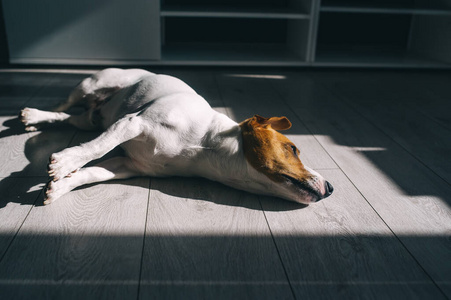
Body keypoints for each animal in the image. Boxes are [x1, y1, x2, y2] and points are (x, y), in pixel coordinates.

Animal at [19, 68, 334, 204]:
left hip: (89, 121)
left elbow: (92, 173)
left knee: (68, 119)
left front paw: (60, 187)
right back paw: (30, 116)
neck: (204, 146)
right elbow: (96, 149)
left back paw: (36, 120)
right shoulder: (132, 123)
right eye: (292, 149)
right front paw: (65, 162)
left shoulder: (128, 166)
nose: (331, 187)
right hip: (89, 85)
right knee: (62, 106)